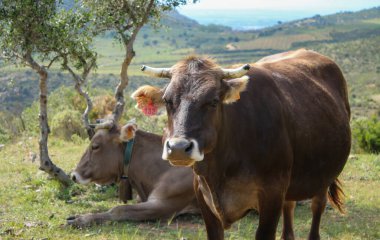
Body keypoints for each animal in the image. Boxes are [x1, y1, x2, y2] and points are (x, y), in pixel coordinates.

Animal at [132, 49, 352, 240]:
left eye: (213, 101)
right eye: (167, 101)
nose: (178, 148)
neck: (221, 168)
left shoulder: (272, 192)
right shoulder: (202, 195)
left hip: (323, 176)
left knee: (317, 205)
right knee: (289, 207)